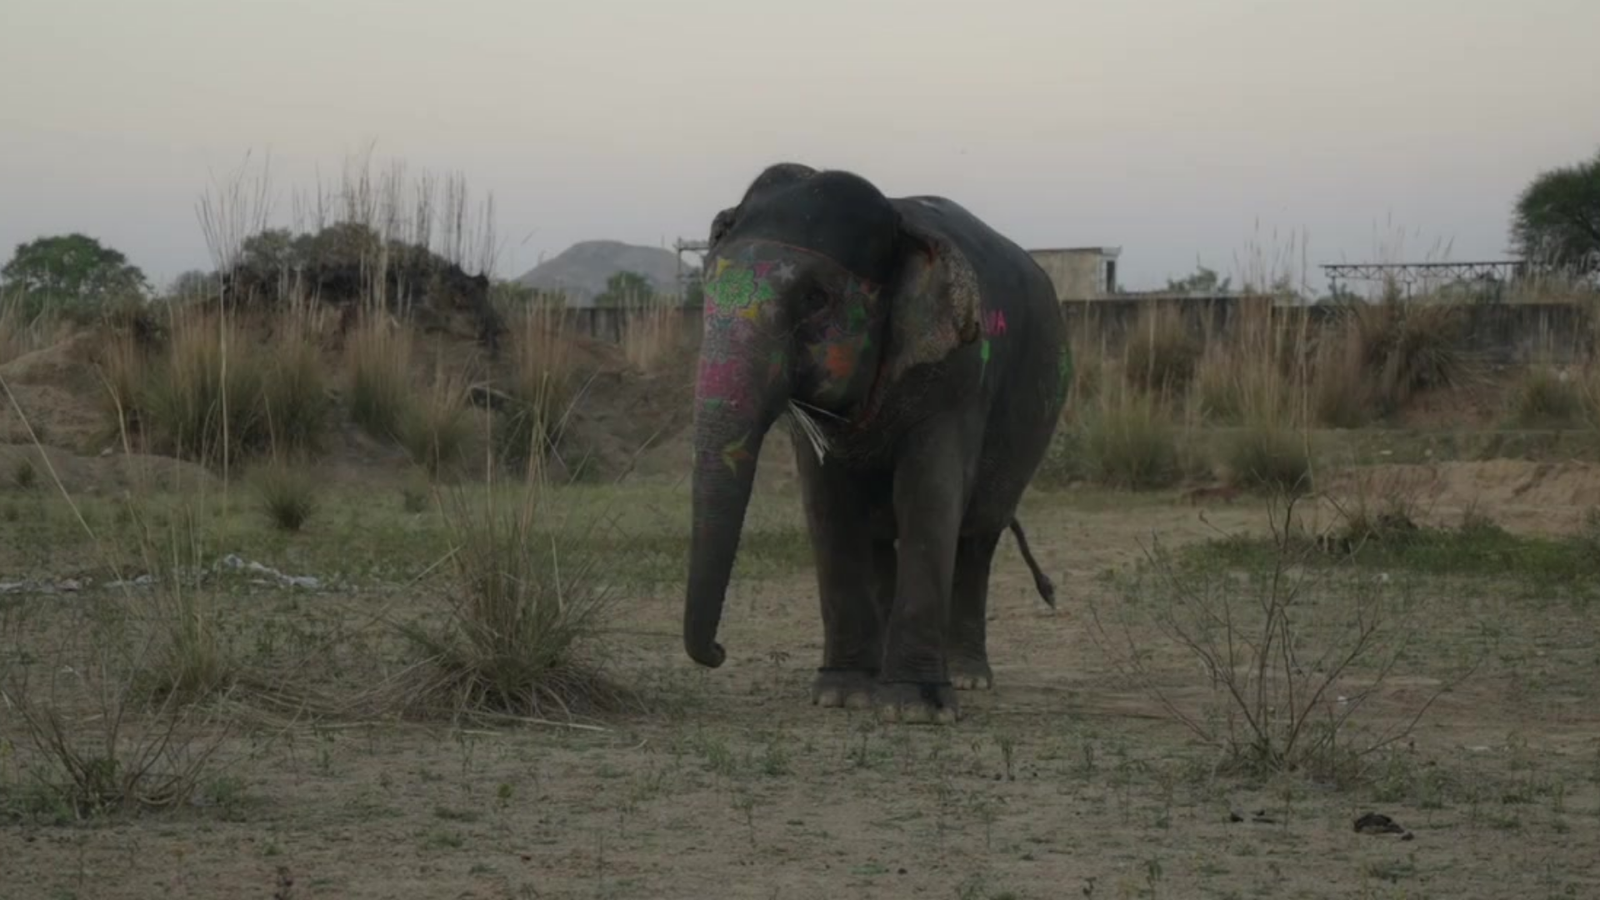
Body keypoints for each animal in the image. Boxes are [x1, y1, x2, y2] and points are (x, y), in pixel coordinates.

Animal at [683, 162, 1071, 725]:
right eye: (707, 288)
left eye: (815, 299)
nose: (718, 651)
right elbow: (827, 507)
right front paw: (843, 695)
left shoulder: (958, 372)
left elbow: (927, 498)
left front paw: (915, 708)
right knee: (883, 539)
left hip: (1031, 426)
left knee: (978, 536)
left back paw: (969, 678)